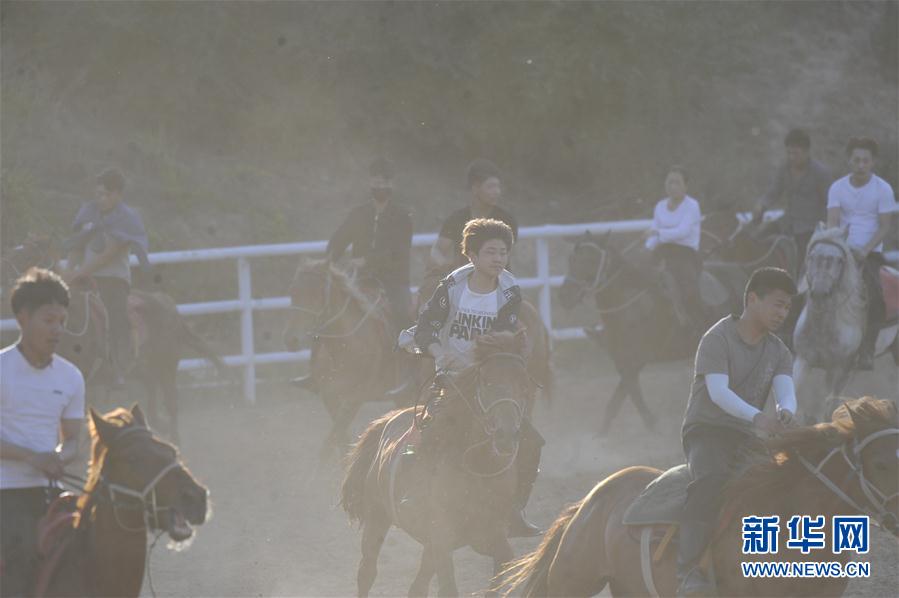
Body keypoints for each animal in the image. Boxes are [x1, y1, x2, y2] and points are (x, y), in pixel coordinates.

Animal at [338, 330, 536, 596]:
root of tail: (387, 421)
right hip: (377, 518)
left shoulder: (489, 536)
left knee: (417, 586)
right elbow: (449, 587)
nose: (506, 435)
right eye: (487, 381)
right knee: (367, 572)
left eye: (524, 385)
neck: (479, 470)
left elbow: (500, 570)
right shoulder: (443, 536)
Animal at [796, 223, 899, 424]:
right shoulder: (802, 361)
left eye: (839, 260)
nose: (820, 293)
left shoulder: (838, 369)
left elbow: (828, 408)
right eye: (811, 256)